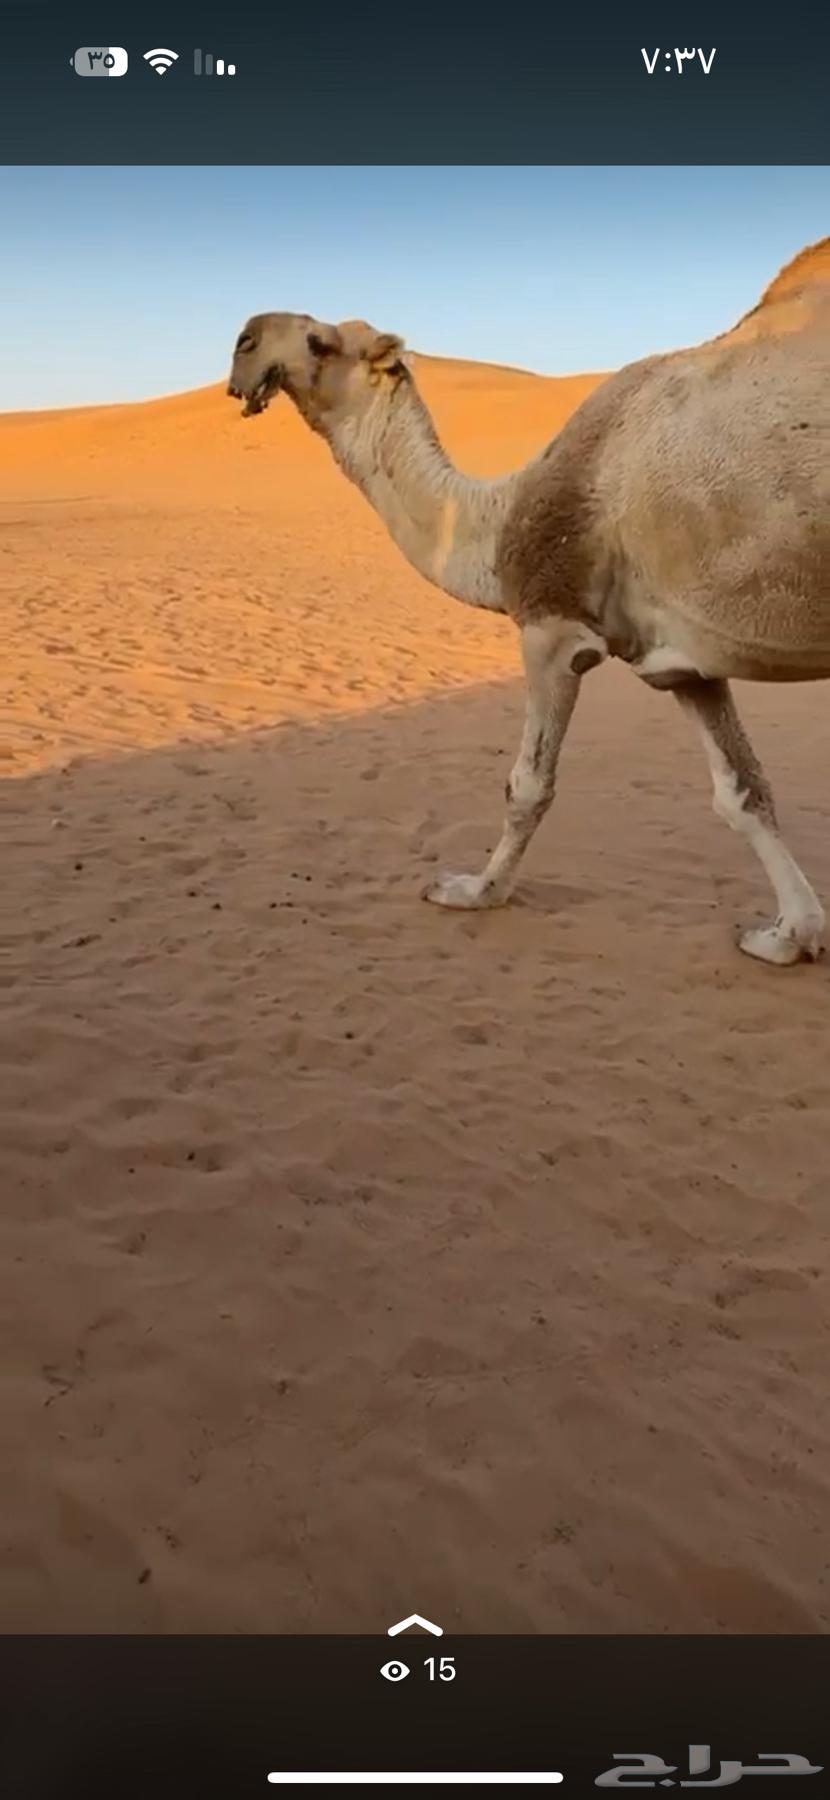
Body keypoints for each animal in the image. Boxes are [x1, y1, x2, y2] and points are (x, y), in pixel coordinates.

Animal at [227, 238, 830, 966]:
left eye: (320, 342)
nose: (243, 342)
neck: (500, 513)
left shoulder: (552, 628)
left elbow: (527, 785)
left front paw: (473, 890)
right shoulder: (682, 663)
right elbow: (743, 791)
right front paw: (788, 935)